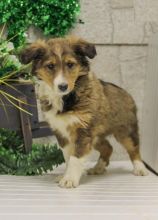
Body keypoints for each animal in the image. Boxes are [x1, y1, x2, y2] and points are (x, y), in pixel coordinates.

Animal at [20, 36, 148, 187]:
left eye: (70, 64)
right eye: (50, 66)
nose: (63, 86)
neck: (65, 99)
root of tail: (127, 93)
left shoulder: (83, 131)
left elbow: (75, 158)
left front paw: (69, 180)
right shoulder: (62, 132)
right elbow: (68, 157)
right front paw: (66, 175)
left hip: (125, 131)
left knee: (134, 149)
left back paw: (140, 168)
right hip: (96, 135)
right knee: (108, 147)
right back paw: (98, 168)